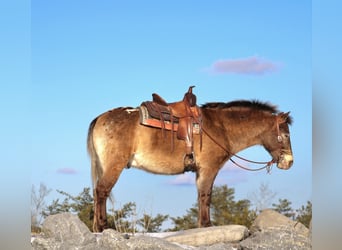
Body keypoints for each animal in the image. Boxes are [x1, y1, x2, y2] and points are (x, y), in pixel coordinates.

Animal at [87, 98, 292, 232]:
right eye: (286, 135)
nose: (289, 162)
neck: (221, 127)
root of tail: (100, 118)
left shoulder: (200, 171)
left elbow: (201, 196)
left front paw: (202, 224)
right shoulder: (209, 169)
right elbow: (206, 196)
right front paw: (207, 225)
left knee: (98, 193)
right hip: (114, 165)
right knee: (102, 191)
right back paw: (102, 226)